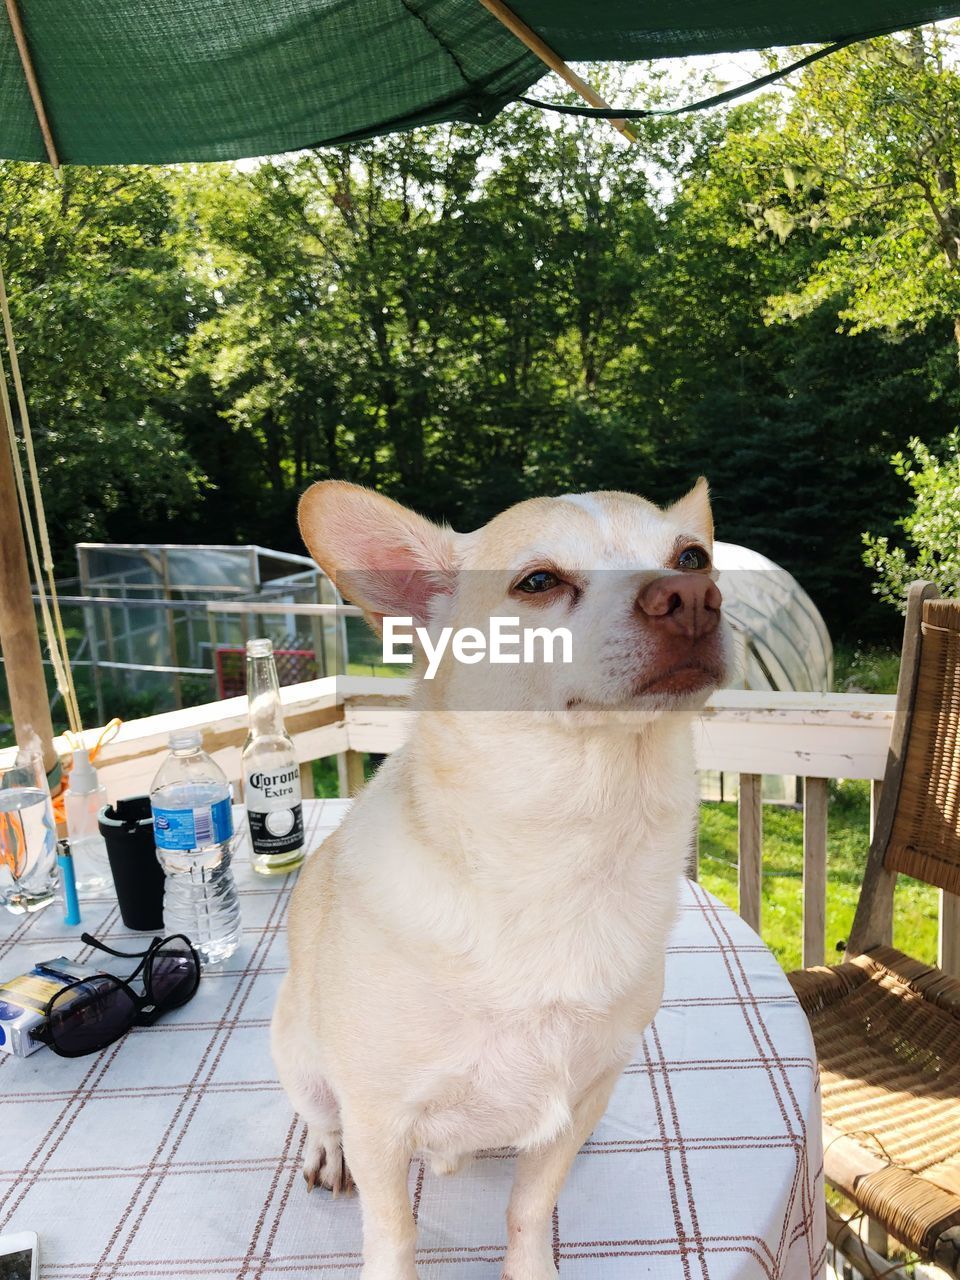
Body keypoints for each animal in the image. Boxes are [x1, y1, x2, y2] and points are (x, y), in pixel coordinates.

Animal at [273, 481, 732, 1280]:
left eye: (693, 558)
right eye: (538, 582)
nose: (694, 596)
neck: (570, 851)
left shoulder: (576, 1103)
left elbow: (529, 1208)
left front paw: (530, 1266)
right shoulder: (379, 1123)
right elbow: (392, 1232)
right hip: (298, 1056)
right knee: (322, 1117)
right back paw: (327, 1151)